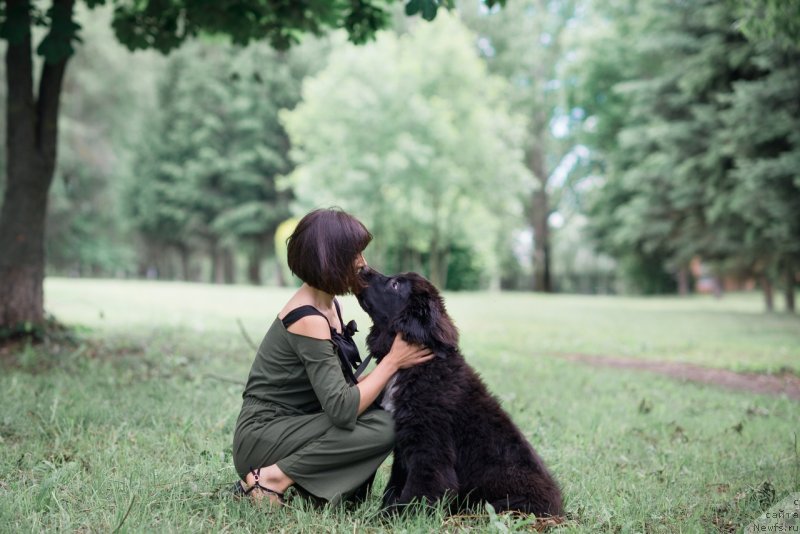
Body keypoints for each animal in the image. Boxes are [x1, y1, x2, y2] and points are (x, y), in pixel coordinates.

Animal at [356, 270, 564, 516]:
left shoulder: (429, 449)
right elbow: (394, 487)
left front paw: (387, 518)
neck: (418, 368)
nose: (362, 270)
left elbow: (415, 492)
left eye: (396, 284)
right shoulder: (404, 443)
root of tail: (558, 507)